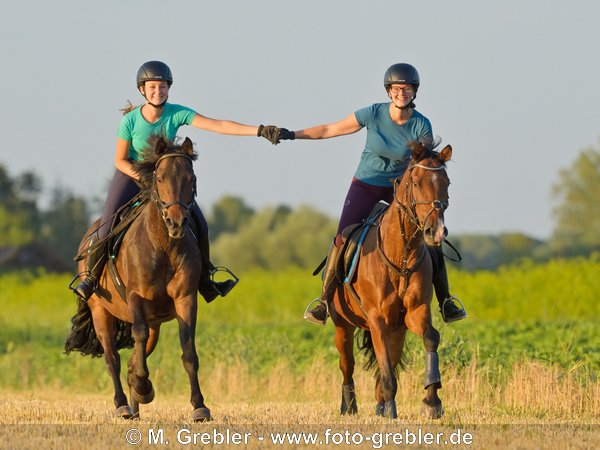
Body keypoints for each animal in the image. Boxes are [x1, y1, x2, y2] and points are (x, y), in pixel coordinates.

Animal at [65, 137, 211, 422]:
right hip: (101, 311)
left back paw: (134, 403)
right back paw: (124, 405)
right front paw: (143, 387)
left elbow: (188, 350)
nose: (176, 222)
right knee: (112, 357)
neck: (163, 245)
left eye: (191, 179)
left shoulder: (185, 298)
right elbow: (136, 340)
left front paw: (200, 406)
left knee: (138, 351)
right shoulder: (136, 298)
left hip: (155, 322)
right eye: (160, 178)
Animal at [330, 141, 452, 418]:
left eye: (447, 182)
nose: (436, 232)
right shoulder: (376, 319)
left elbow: (430, 338)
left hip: (398, 329)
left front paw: (432, 401)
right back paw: (349, 406)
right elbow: (384, 368)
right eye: (416, 182)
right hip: (342, 325)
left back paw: (380, 405)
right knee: (347, 365)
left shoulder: (416, 312)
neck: (401, 256)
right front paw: (392, 411)